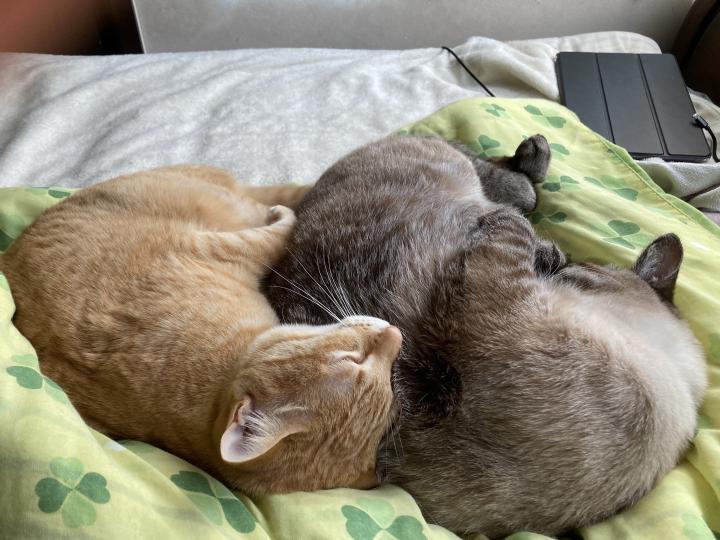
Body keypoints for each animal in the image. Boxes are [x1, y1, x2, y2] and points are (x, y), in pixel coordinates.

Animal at [0, 164, 403, 495]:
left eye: (389, 389)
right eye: (352, 359)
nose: (396, 334)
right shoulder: (220, 246)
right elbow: (284, 225)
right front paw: (282, 214)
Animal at [266, 135, 707, 537]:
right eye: (570, 273)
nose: (559, 265)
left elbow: (512, 231)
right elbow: (516, 228)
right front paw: (543, 247)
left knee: (503, 184)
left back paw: (529, 165)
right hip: (450, 168)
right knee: (494, 173)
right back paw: (533, 155)